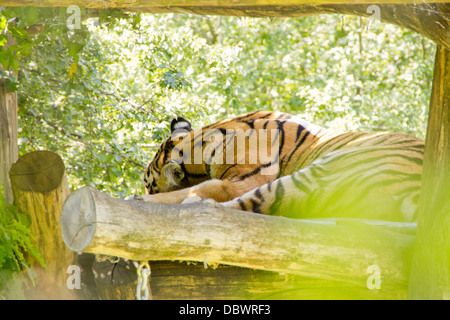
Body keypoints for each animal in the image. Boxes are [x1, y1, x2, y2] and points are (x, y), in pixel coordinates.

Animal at [139, 111, 424, 221]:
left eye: (149, 185)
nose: (146, 192)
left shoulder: (246, 180)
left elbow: (197, 189)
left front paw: (141, 199)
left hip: (321, 171)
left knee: (243, 205)